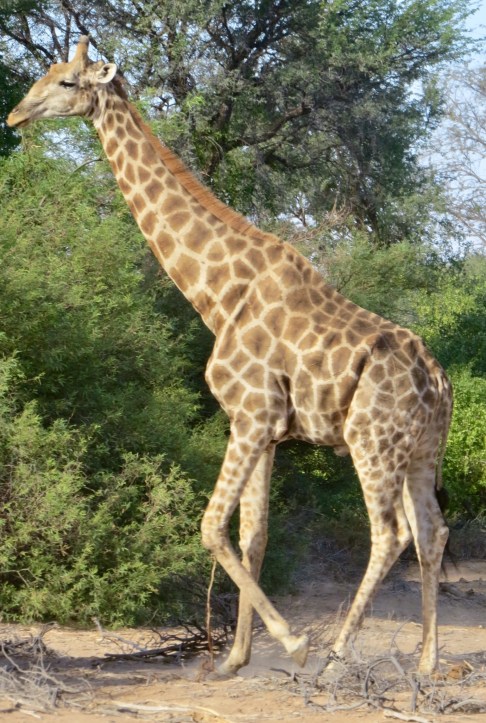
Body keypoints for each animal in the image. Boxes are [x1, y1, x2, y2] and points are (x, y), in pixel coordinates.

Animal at [7, 36, 452, 676]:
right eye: (46, 72)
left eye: (68, 82)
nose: (16, 115)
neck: (216, 297)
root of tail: (441, 383)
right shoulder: (266, 430)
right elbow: (253, 535)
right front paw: (235, 658)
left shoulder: (250, 415)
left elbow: (211, 527)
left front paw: (290, 642)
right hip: (420, 452)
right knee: (432, 533)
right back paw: (426, 663)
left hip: (373, 443)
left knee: (389, 534)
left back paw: (335, 655)